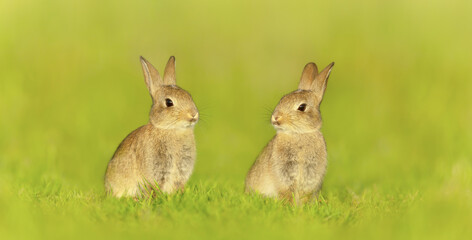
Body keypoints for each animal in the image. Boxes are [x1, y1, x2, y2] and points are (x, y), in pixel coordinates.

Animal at [245, 61, 334, 204]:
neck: (299, 134)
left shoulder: (311, 173)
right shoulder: (284, 172)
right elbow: (287, 191)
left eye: (302, 107)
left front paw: (302, 206)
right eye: (282, 99)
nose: (276, 117)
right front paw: (290, 205)